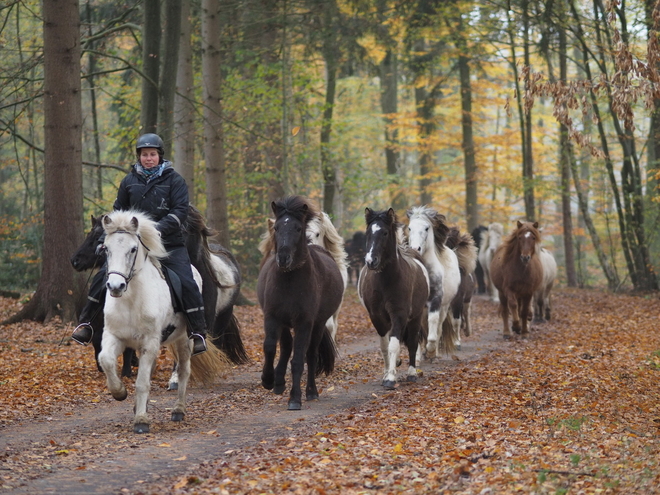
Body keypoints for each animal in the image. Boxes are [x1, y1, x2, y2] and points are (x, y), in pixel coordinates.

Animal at [98, 209, 227, 434]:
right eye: (106, 248)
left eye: (133, 249)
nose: (115, 286)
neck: (131, 300)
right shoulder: (115, 337)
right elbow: (105, 360)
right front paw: (119, 392)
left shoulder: (149, 342)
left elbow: (142, 383)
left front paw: (141, 421)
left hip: (184, 340)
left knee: (184, 371)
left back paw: (178, 410)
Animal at [256, 197, 342, 410]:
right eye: (277, 228)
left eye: (297, 228)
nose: (283, 258)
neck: (289, 280)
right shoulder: (272, 317)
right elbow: (270, 347)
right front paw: (268, 379)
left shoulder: (304, 322)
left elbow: (298, 359)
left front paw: (295, 398)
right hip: (286, 323)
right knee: (286, 346)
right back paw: (278, 382)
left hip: (317, 324)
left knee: (310, 355)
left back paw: (311, 391)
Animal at [358, 207, 430, 390]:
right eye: (368, 233)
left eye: (384, 233)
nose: (371, 261)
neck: (385, 280)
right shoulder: (377, 317)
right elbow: (385, 346)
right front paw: (387, 373)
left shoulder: (399, 314)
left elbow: (395, 344)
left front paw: (390, 378)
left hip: (416, 316)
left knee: (412, 341)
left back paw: (412, 373)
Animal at [408, 206, 458, 360]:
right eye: (409, 228)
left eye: (426, 228)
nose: (415, 249)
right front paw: (417, 356)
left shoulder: (436, 301)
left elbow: (433, 324)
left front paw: (430, 350)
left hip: (445, 306)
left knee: (439, 327)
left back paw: (433, 353)